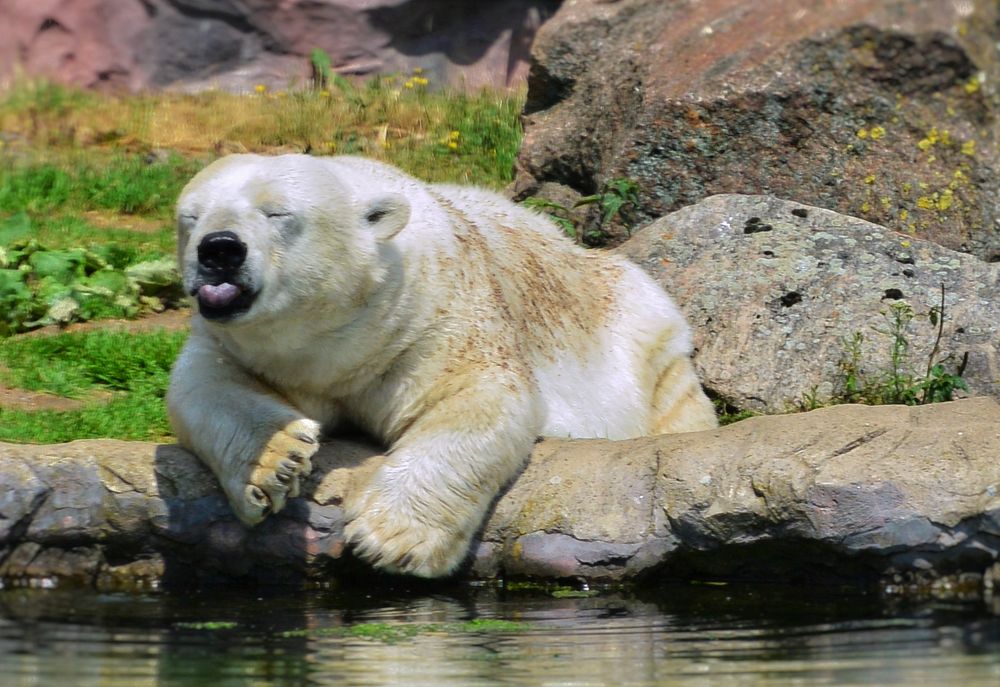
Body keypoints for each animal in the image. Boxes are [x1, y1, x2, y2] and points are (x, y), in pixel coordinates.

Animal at [170, 153, 720, 576]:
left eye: (277, 213)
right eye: (190, 217)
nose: (219, 249)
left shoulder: (428, 319)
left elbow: (478, 397)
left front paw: (389, 537)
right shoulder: (234, 343)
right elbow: (199, 385)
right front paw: (276, 464)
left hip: (642, 331)